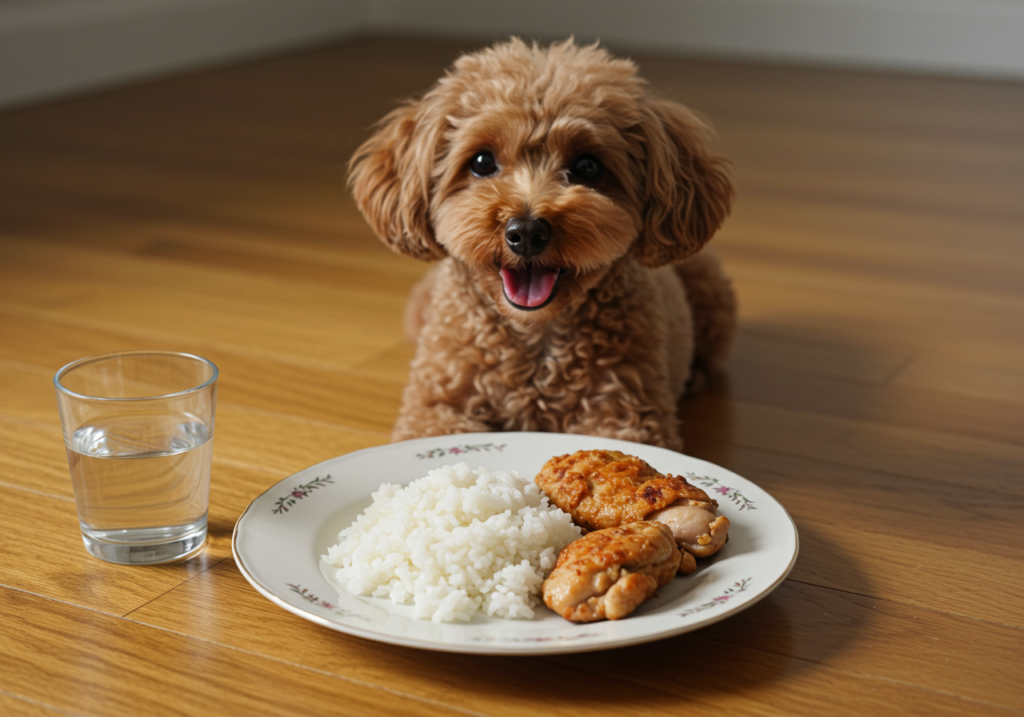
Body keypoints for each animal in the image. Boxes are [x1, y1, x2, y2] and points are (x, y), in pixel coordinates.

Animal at [352, 37, 737, 448]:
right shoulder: (434, 407)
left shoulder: (626, 417)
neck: (535, 334)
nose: (526, 232)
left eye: (587, 167)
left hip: (712, 292)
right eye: (481, 162)